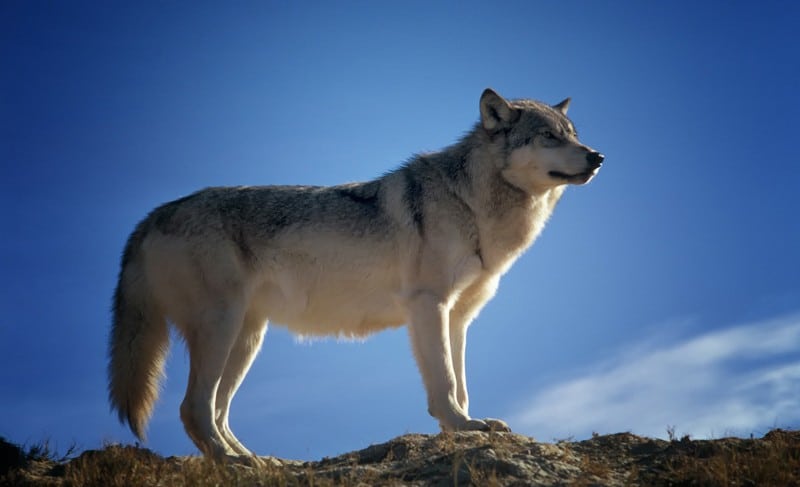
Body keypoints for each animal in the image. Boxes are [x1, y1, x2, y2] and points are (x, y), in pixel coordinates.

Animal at [108, 88, 608, 466]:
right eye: (548, 137)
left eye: (573, 135)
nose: (598, 157)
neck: (471, 203)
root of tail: (152, 216)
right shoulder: (429, 305)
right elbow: (445, 382)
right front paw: (461, 426)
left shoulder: (459, 317)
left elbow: (462, 383)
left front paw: (466, 426)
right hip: (222, 328)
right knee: (194, 408)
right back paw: (231, 463)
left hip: (247, 339)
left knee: (217, 411)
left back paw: (256, 460)